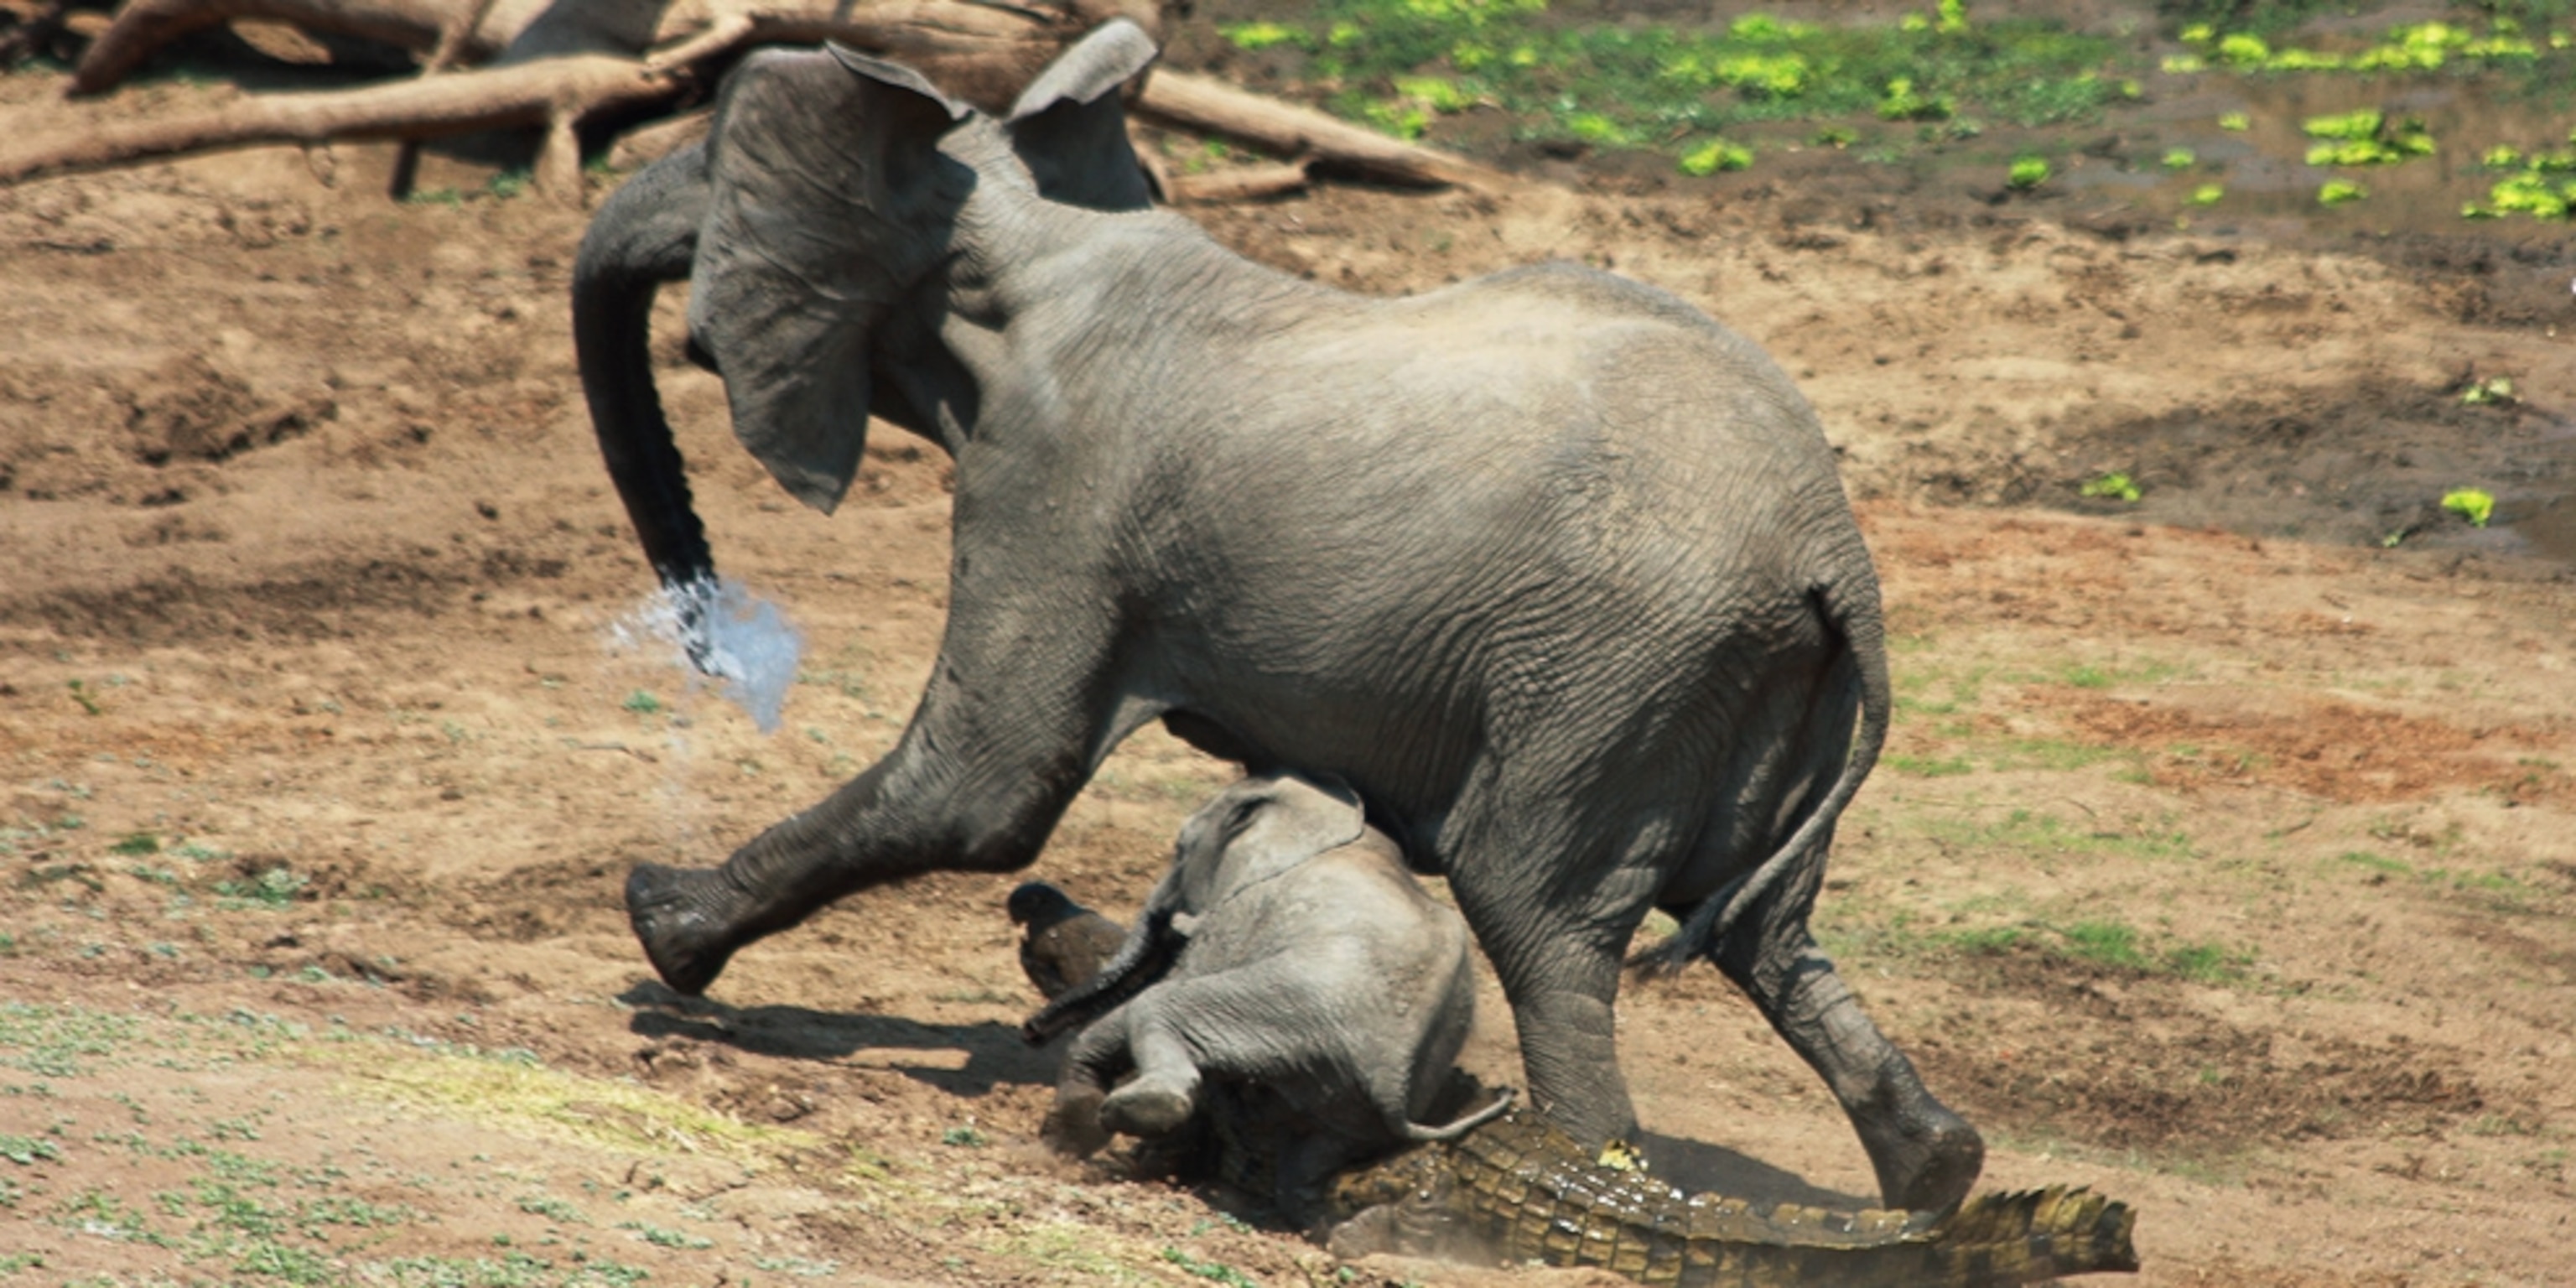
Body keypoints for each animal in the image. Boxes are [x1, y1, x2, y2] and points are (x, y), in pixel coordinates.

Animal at [1025, 767, 1504, 1190]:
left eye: (1181, 849)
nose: (1032, 1031)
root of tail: (1393, 1081)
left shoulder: (1240, 911)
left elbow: (1165, 985)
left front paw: (1061, 1143)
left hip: (1298, 1011)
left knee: (1161, 1005)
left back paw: (1134, 1112)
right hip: (1353, 1098)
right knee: (1310, 1163)